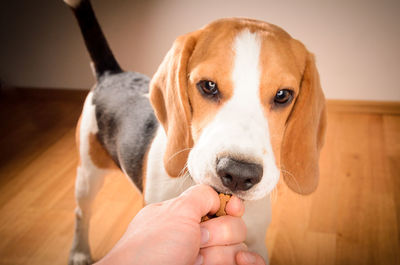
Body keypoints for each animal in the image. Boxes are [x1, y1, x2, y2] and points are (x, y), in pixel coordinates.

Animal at [65, 1, 326, 262]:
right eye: (208, 86)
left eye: (283, 95)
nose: (238, 173)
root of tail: (112, 73)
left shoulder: (256, 243)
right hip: (88, 173)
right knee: (80, 213)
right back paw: (79, 252)